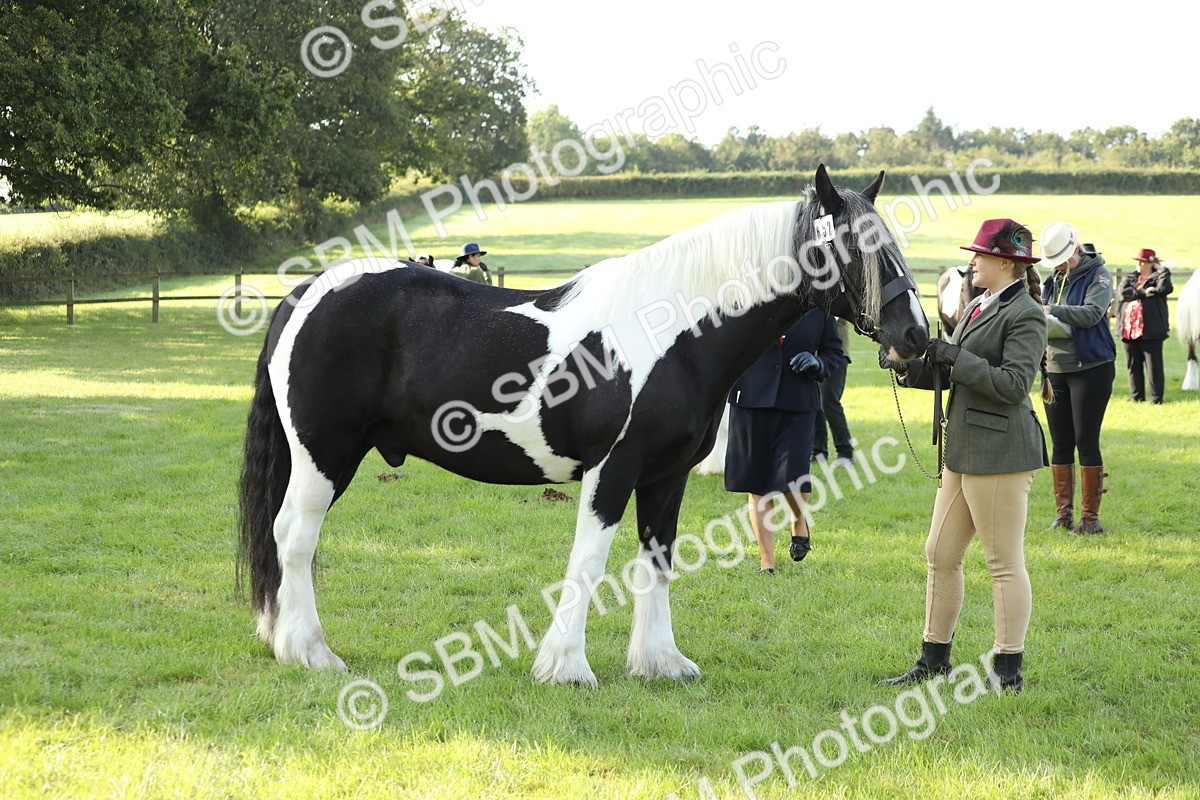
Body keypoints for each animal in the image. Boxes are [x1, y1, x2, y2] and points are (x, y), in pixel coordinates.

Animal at [237, 165, 930, 686]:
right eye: (860, 249)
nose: (916, 337)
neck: (675, 331)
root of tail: (305, 293)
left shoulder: (666, 476)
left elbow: (658, 560)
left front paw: (660, 662)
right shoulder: (612, 468)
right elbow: (590, 561)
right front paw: (565, 666)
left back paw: (286, 643)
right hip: (324, 455)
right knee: (294, 537)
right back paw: (311, 652)